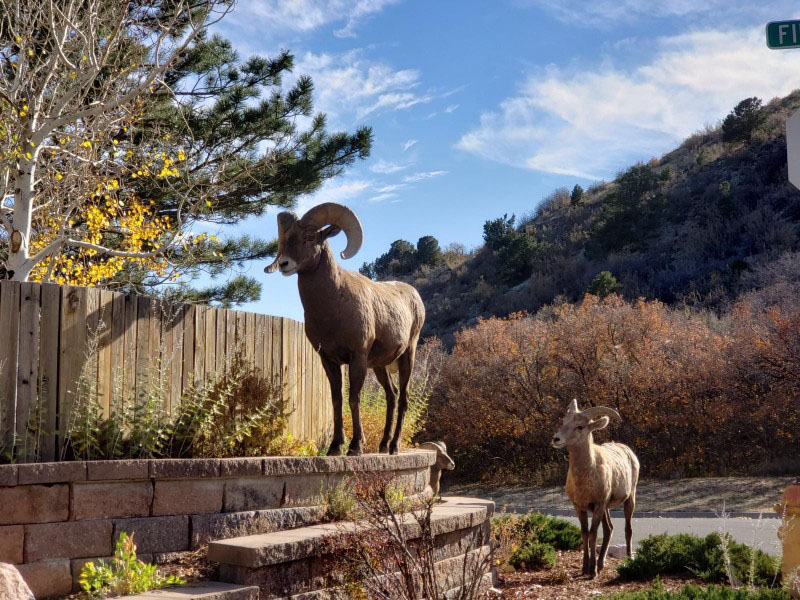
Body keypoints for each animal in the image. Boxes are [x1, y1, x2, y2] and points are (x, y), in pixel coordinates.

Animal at [264, 202, 425, 457]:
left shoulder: (357, 357)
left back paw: (394, 447)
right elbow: (337, 400)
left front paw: (355, 447)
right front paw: (335, 447)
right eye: (287, 238)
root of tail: (415, 297)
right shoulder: (329, 360)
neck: (334, 306)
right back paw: (383, 445)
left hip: (407, 355)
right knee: (392, 395)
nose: (284, 264)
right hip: (379, 366)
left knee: (404, 398)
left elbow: (354, 399)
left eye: (310, 237)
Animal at [551, 399, 639, 578]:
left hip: (629, 499)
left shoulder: (598, 505)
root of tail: (629, 452)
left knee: (628, 529)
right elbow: (585, 534)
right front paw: (585, 568)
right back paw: (601, 564)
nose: (556, 439)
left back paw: (627, 560)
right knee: (609, 529)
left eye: (580, 427)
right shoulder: (580, 507)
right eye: (564, 422)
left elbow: (593, 534)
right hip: (607, 508)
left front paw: (592, 573)